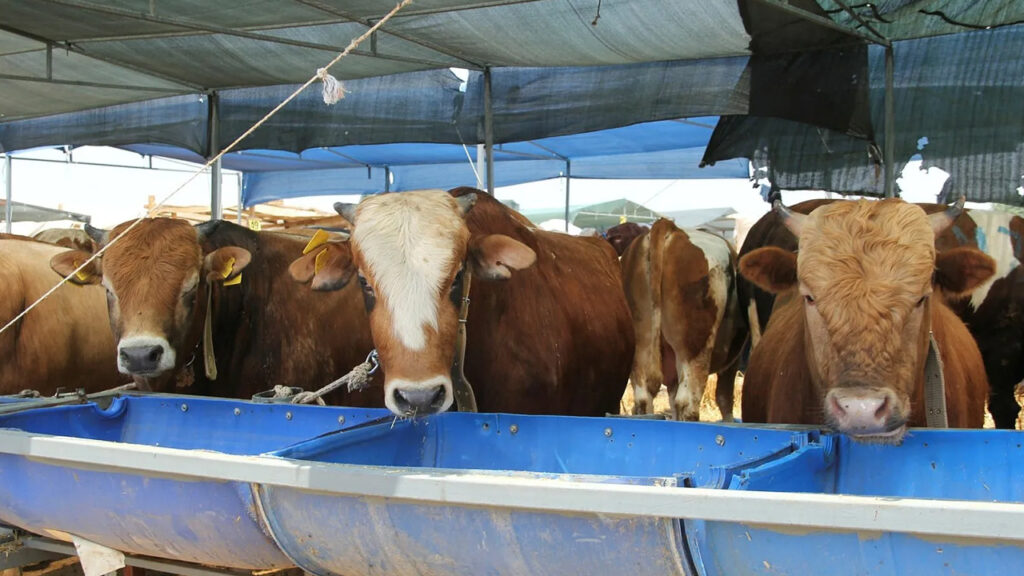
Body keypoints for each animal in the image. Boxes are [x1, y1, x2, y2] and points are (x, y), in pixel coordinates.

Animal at [618, 217, 749, 420]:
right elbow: (725, 398)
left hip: (641, 346)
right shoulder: (732, 358)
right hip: (695, 348)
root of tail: (671, 228)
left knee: (644, 399)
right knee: (687, 403)